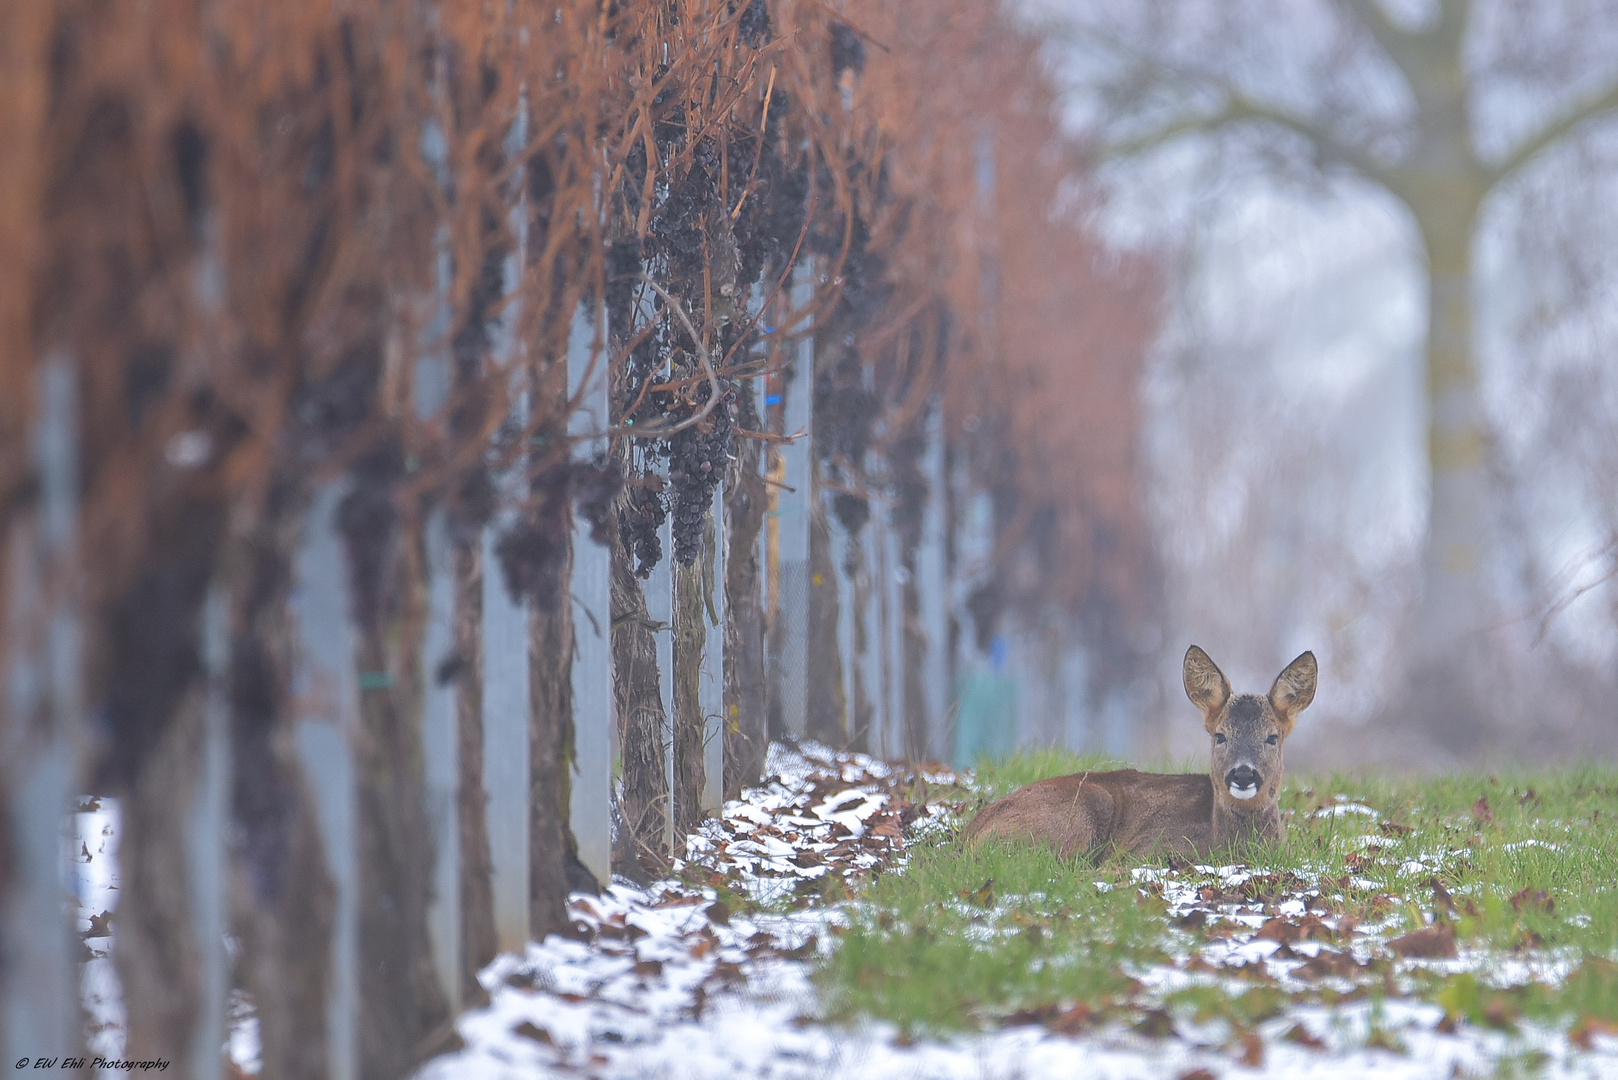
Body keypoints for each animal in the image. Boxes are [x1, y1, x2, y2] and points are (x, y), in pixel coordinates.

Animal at [957, 650, 1313, 861]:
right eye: (1220, 735)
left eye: (1272, 737)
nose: (1242, 774)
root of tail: (970, 835)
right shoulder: (1144, 850)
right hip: (1081, 812)